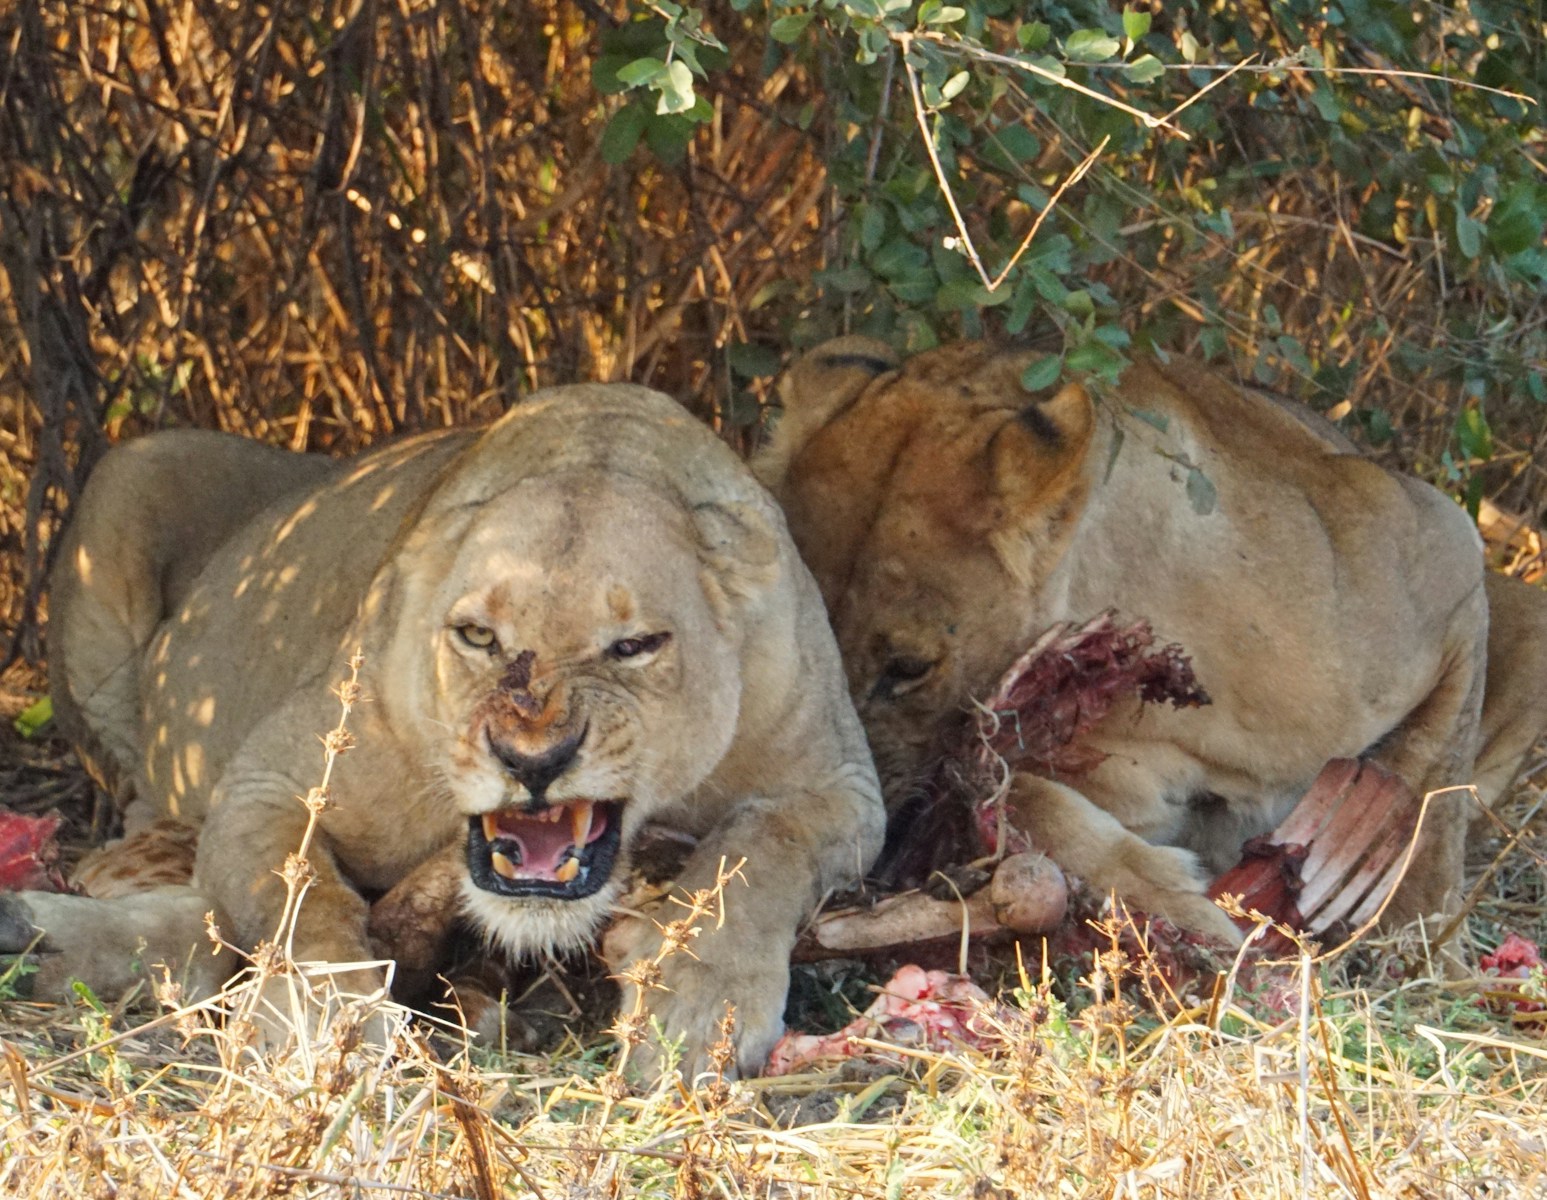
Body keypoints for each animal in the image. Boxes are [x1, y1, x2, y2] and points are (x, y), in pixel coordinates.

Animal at [3, 382, 885, 1077]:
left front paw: (702, 1007)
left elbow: (761, 849)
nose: (533, 761)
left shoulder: (840, 787)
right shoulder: (270, 780)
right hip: (125, 481)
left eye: (635, 646)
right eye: (477, 637)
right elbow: (300, 896)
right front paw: (325, 1021)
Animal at [755, 337, 1547, 948]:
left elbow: (1434, 788)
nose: (875, 840)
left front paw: (1403, 917)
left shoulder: (1447, 545)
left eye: (908, 668)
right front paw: (1173, 902)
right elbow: (1029, 803)